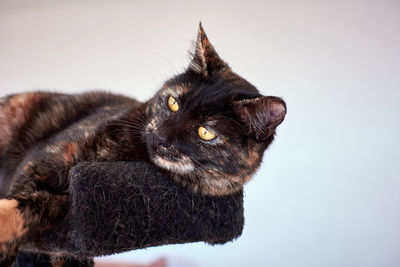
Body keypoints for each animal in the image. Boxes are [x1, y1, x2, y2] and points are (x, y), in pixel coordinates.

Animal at [0, 24, 288, 266]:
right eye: (173, 103)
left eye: (206, 132)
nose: (161, 137)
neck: (129, 156)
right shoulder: (47, 159)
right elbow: (17, 195)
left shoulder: (67, 204)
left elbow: (32, 209)